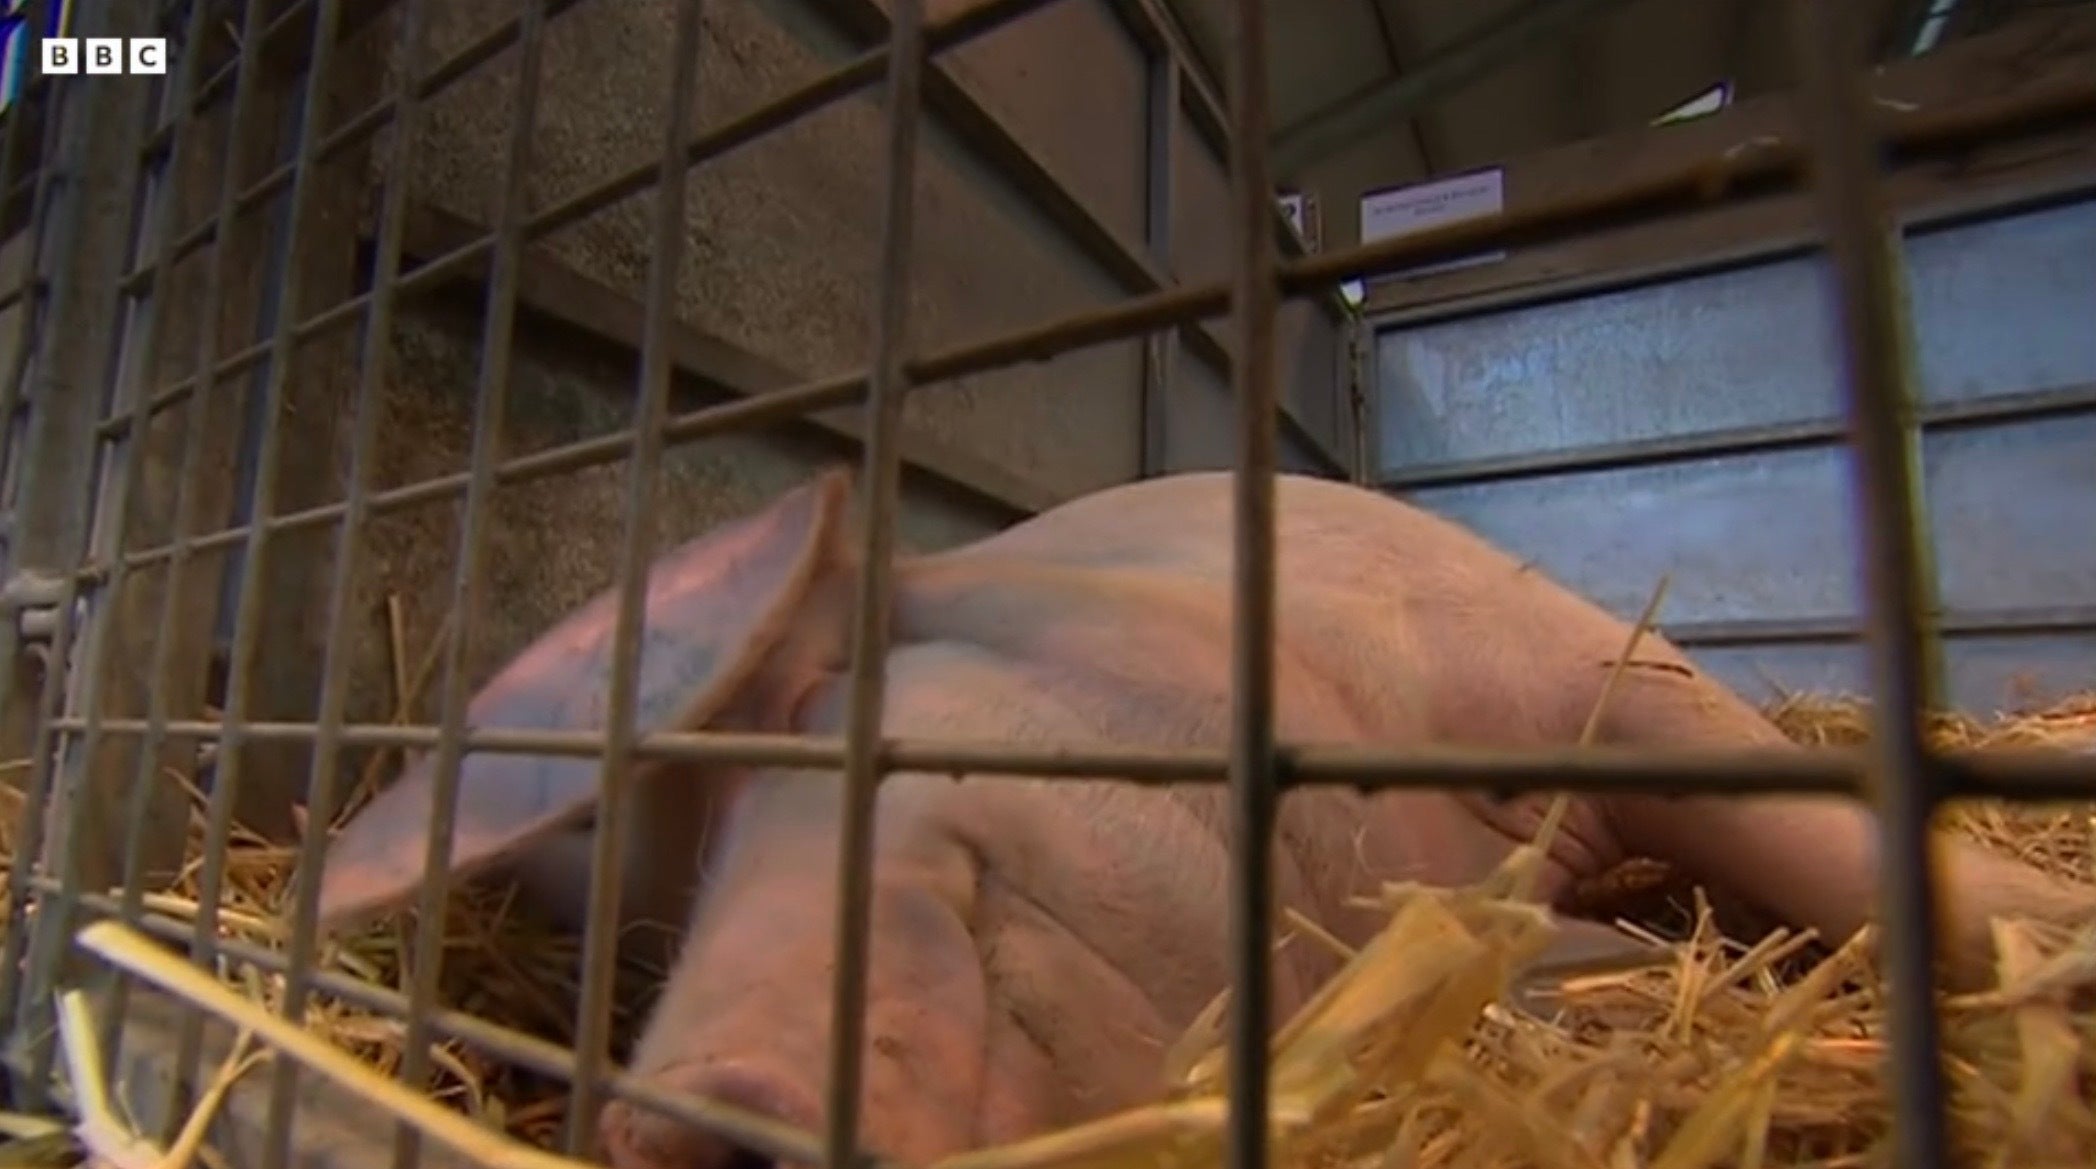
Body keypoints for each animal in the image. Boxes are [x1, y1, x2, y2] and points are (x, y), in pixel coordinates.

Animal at [310, 467, 2096, 1169]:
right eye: (655, 928)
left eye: (825, 723)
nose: (688, 1113)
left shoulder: (1579, 662)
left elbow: (1822, 836)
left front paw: (2052, 940)